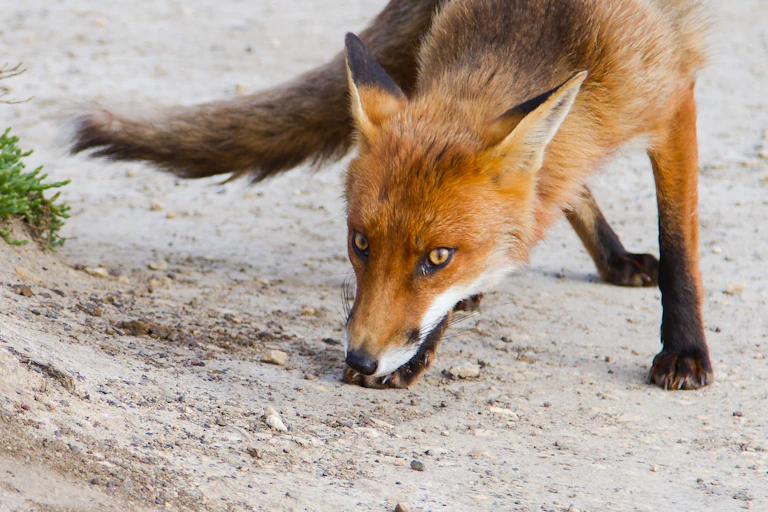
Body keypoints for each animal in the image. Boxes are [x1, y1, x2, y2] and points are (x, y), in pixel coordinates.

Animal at [70, 0, 712, 391]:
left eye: (438, 257)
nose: (358, 359)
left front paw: (685, 351)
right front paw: (419, 353)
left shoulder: (673, 100)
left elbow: (679, 243)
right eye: (359, 243)